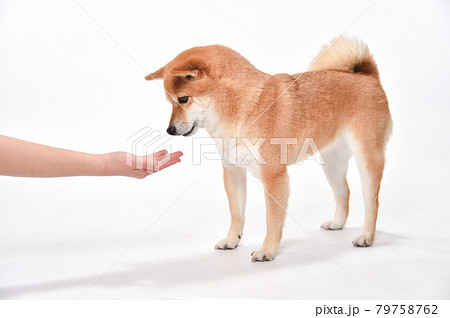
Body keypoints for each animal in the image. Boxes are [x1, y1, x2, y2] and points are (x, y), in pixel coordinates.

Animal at [146, 37, 392, 260]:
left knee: (372, 201)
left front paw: (267, 251)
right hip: (331, 163)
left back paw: (366, 236)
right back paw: (338, 223)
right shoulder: (233, 171)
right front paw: (232, 239)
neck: (245, 109)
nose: (169, 130)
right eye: (170, 102)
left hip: (367, 158)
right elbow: (236, 212)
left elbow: (272, 219)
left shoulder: (274, 176)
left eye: (183, 99)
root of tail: (366, 76)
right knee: (344, 193)